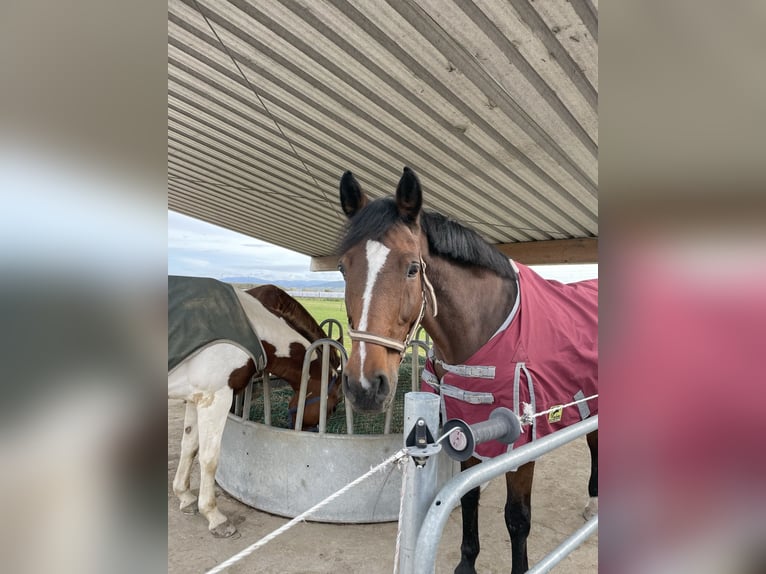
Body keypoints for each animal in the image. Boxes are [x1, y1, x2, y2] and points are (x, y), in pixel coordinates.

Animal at [171, 280, 344, 540]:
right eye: (333, 407)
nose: (308, 431)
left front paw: (184, 496)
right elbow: (209, 458)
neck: (251, 326)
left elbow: (190, 447)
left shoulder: (196, 397)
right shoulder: (216, 398)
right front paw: (214, 516)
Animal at [338, 171, 600, 574]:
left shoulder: (522, 442)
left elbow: (517, 517)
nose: (365, 385)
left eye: (412, 267)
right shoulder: (465, 428)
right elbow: (469, 496)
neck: (487, 331)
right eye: (342, 267)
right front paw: (466, 563)